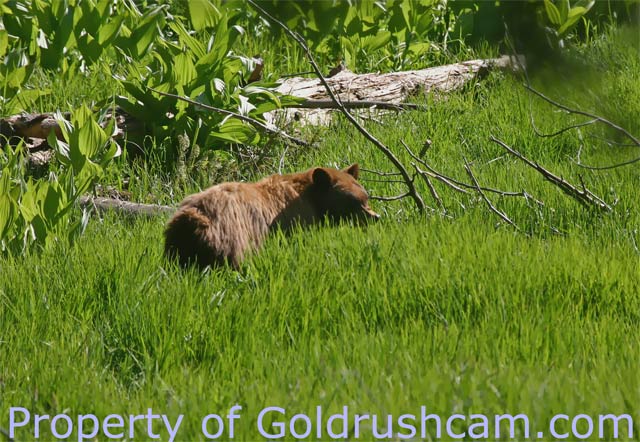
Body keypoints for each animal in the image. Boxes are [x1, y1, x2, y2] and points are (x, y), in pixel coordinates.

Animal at [164, 164, 379, 269]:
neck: (311, 199)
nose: (375, 216)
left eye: (366, 197)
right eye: (353, 202)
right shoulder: (296, 219)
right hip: (234, 236)